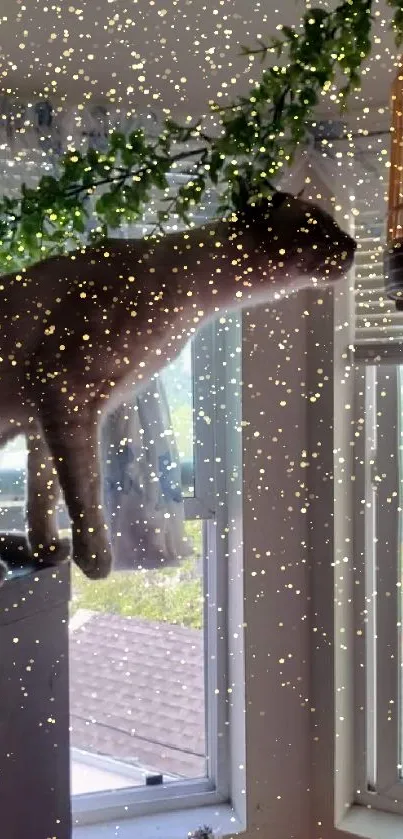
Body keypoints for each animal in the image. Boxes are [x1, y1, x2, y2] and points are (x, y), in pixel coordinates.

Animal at [0, 190, 356, 584]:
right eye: (321, 225)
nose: (354, 244)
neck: (196, 301)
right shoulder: (65, 395)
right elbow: (85, 488)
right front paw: (95, 563)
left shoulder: (48, 419)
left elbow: (42, 494)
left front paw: (47, 553)